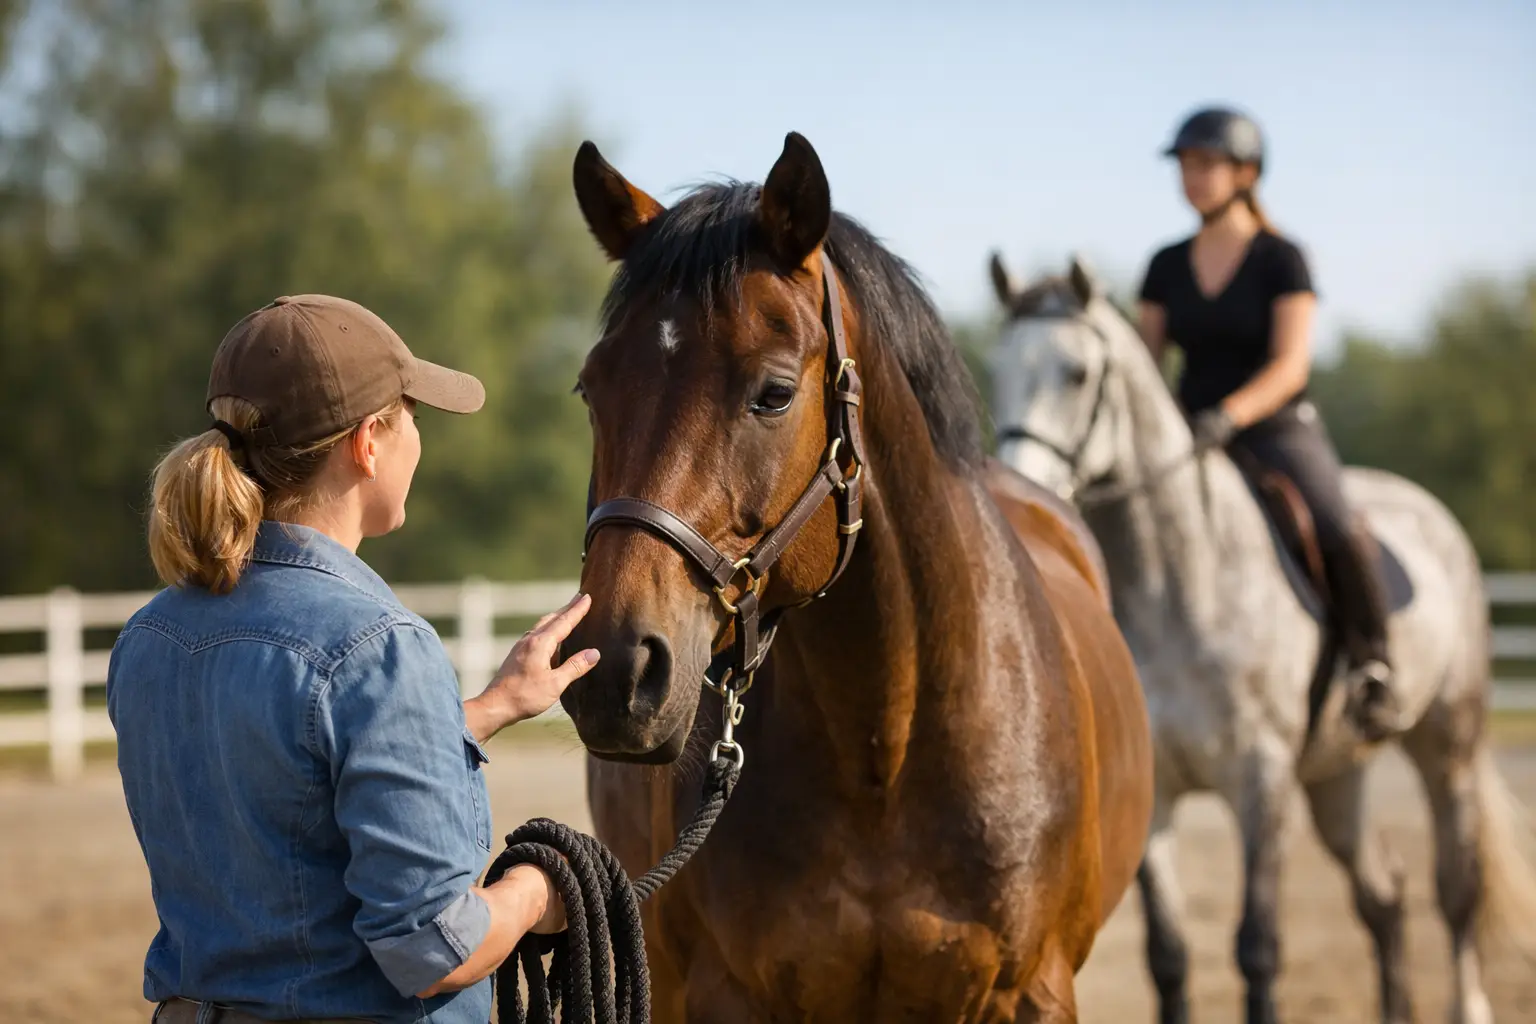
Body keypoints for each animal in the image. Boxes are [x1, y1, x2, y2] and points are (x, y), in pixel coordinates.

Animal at [986, 252, 1536, 1024]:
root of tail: (1429, 511)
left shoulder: (1260, 779)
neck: (1180, 583)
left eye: (1078, 373)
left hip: (1447, 749)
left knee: (1456, 893)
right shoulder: (1158, 794)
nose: (1018, 488)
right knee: (1384, 898)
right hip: (1338, 775)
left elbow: (1257, 945)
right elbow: (1168, 955)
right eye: (998, 366)